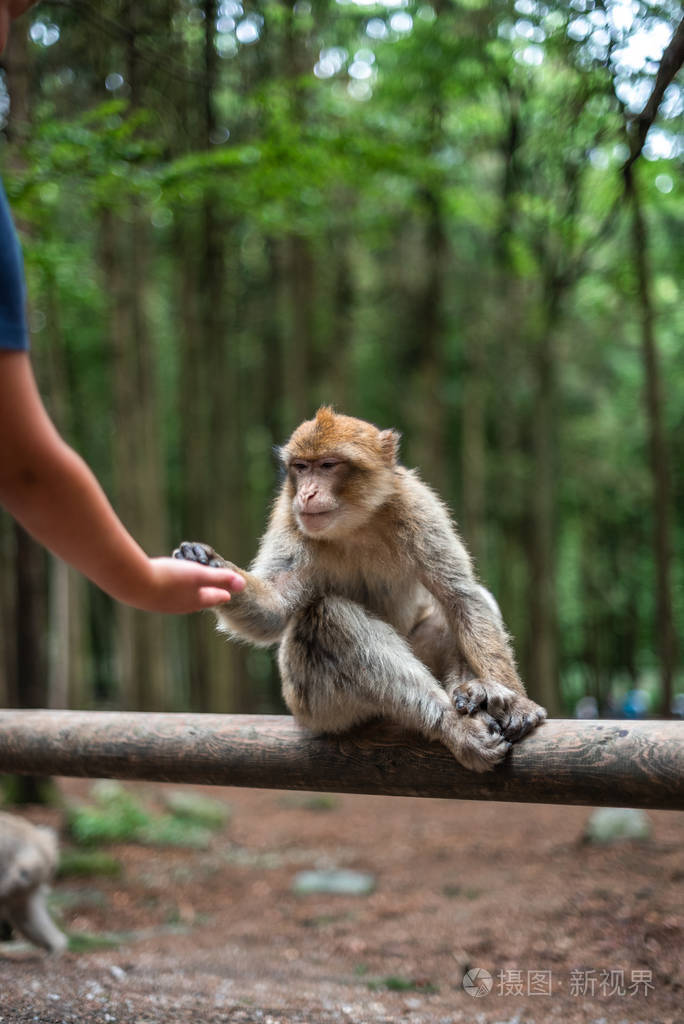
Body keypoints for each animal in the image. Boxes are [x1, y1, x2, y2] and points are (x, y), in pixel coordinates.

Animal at [175, 407, 544, 770]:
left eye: (327, 465)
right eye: (301, 467)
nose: (306, 493)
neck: (354, 523)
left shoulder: (418, 505)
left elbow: (461, 598)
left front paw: (516, 703)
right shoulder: (289, 517)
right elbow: (273, 612)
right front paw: (210, 568)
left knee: (451, 609)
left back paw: (476, 694)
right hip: (316, 705)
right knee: (329, 616)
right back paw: (455, 725)